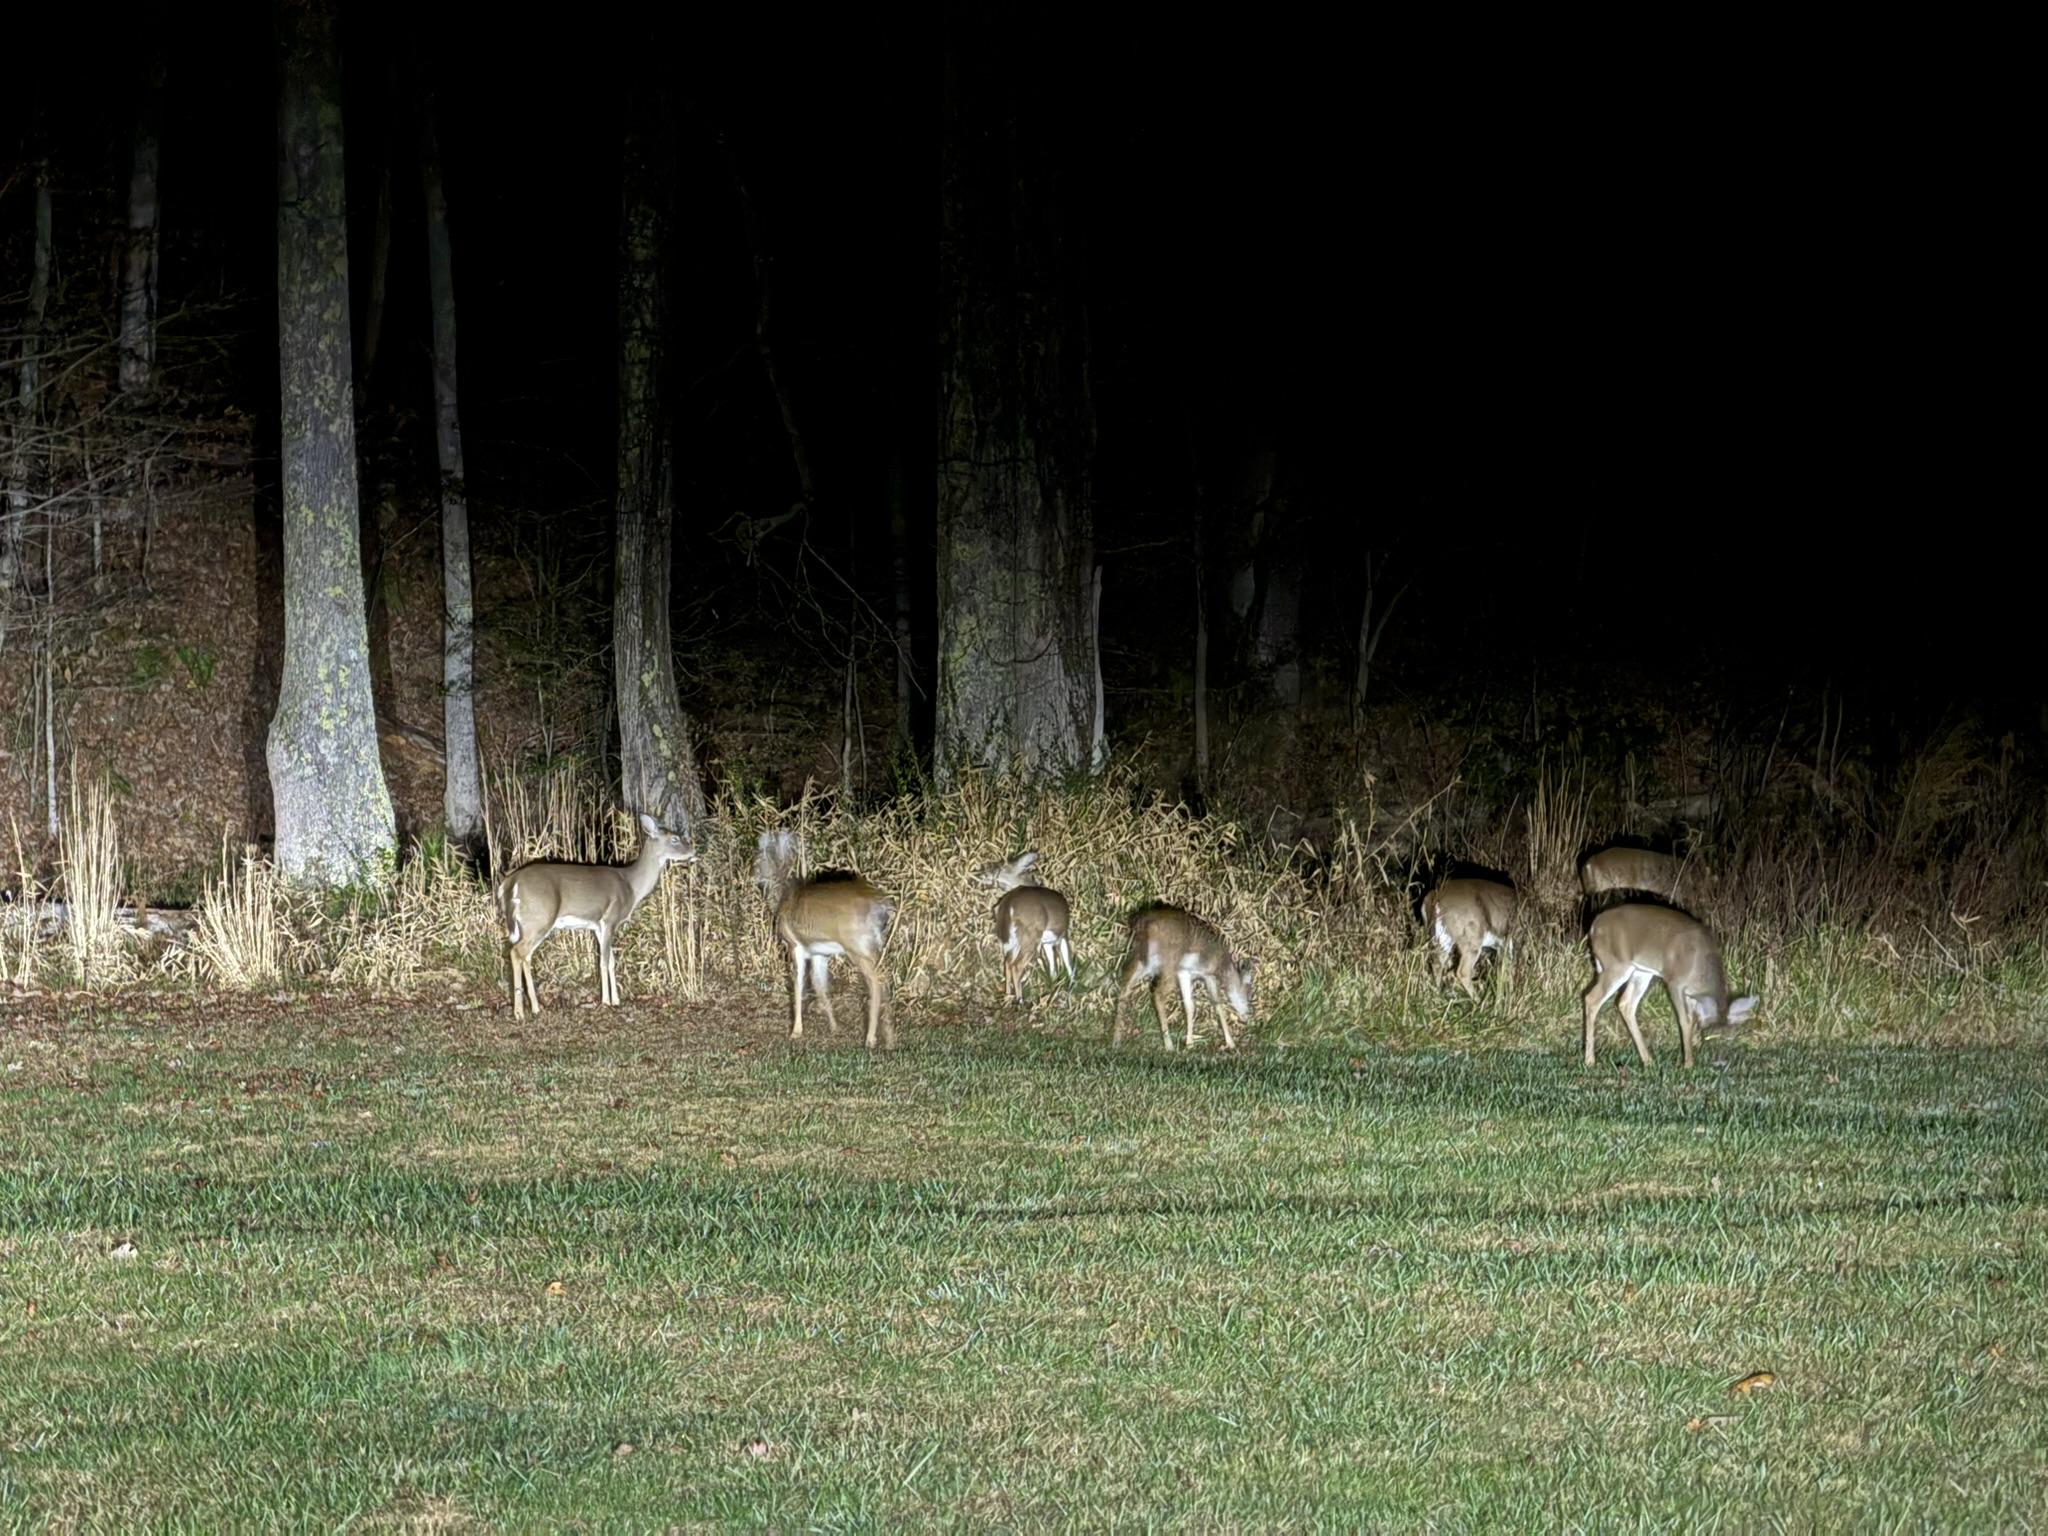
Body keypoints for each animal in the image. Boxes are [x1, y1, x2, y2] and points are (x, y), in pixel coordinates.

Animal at [498, 813, 696, 1018]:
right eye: (675, 838)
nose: (693, 851)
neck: (631, 886)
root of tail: (510, 882)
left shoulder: (598, 927)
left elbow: (611, 961)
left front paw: (616, 1000)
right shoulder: (610, 919)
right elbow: (603, 961)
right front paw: (606, 1001)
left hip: (529, 923)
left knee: (525, 956)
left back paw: (535, 1008)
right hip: (539, 918)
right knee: (516, 952)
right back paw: (519, 1012)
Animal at [755, 829, 895, 1049]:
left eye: (759, 858)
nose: (757, 879)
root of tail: (882, 907)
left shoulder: (795, 946)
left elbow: (798, 985)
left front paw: (796, 1031)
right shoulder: (818, 953)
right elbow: (820, 986)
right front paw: (834, 1027)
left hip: (857, 946)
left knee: (876, 982)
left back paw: (870, 1039)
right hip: (875, 944)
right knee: (885, 978)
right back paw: (889, 1039)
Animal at [974, 851, 1074, 1004]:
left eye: (999, 867)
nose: (980, 873)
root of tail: (1009, 904)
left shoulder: (1047, 942)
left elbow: (1053, 967)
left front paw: (1053, 989)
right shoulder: (1062, 935)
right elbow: (1068, 963)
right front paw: (1068, 990)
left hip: (1011, 937)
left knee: (1008, 962)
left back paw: (1008, 996)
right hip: (1031, 934)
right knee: (1017, 965)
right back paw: (1020, 1000)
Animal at [1109, 904, 1255, 1051]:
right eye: (1248, 993)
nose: (1246, 1016)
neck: (1223, 966)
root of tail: (1141, 922)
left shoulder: (1185, 973)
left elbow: (1189, 1006)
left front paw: (1189, 1044)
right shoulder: (1206, 975)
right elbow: (1217, 1005)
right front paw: (1231, 1044)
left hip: (1142, 958)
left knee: (1125, 985)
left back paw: (1116, 1040)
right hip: (1168, 963)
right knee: (1157, 994)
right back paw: (1169, 1045)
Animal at [1582, 903, 1757, 1069]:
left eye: (1732, 1038)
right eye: (1709, 1037)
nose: (1720, 1062)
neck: (1700, 968)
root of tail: (1595, 924)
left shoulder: (1692, 995)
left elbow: (1692, 1020)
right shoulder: (1675, 982)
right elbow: (1684, 1020)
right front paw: (1688, 1064)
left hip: (1641, 971)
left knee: (1625, 1003)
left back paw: (1647, 1060)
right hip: (1616, 964)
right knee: (1591, 998)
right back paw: (1590, 1060)